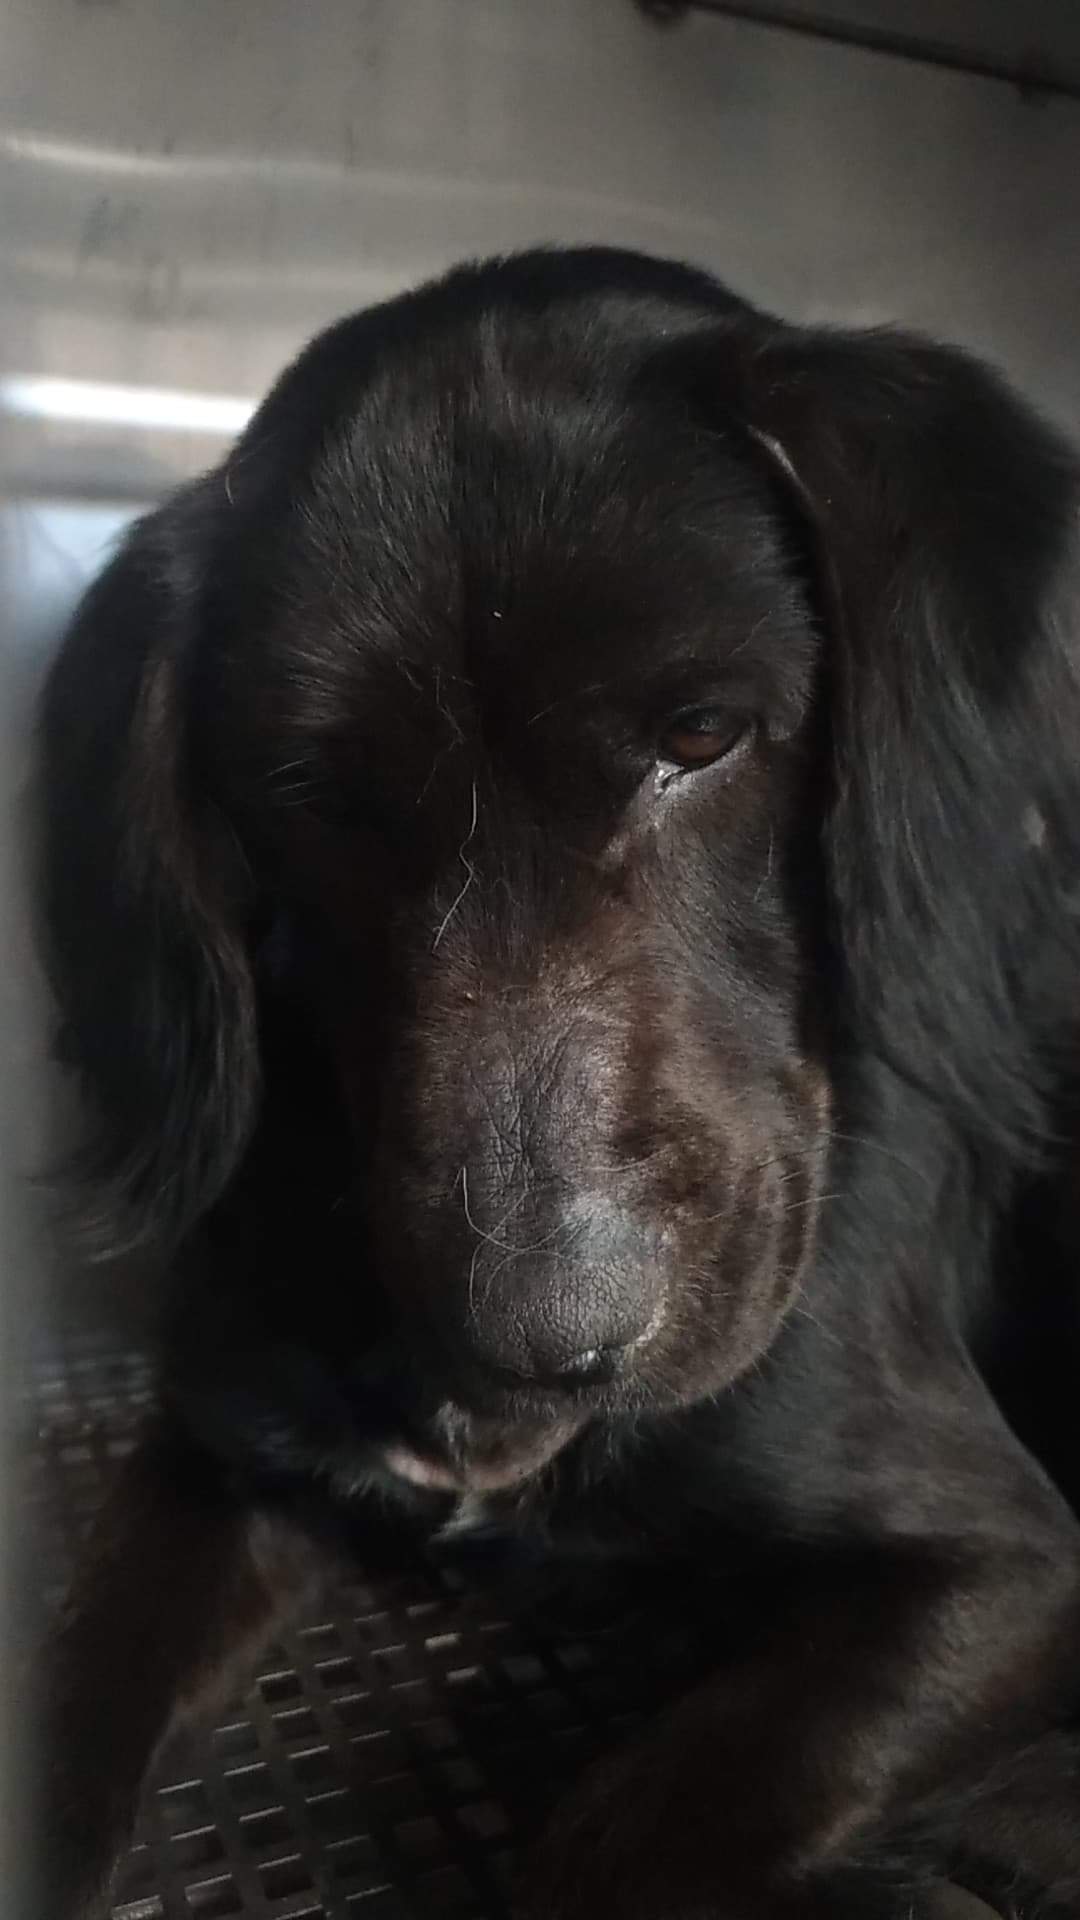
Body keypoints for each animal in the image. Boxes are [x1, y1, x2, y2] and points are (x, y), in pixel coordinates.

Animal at [35, 247, 1080, 1918]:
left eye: (704, 735)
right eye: (310, 800)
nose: (538, 1348)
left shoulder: (1006, 1560)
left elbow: (647, 1832)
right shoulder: (214, 1449)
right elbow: (66, 1704)